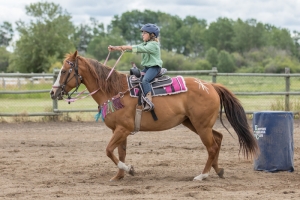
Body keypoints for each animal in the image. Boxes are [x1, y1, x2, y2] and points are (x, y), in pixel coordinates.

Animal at [49, 50, 258, 181]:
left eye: (65, 71)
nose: (52, 92)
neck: (114, 91)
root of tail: (211, 85)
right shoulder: (121, 131)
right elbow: (120, 152)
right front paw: (119, 176)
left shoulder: (122, 130)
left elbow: (108, 150)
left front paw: (129, 169)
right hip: (194, 124)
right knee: (218, 139)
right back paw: (218, 170)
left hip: (201, 126)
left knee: (212, 146)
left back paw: (202, 175)